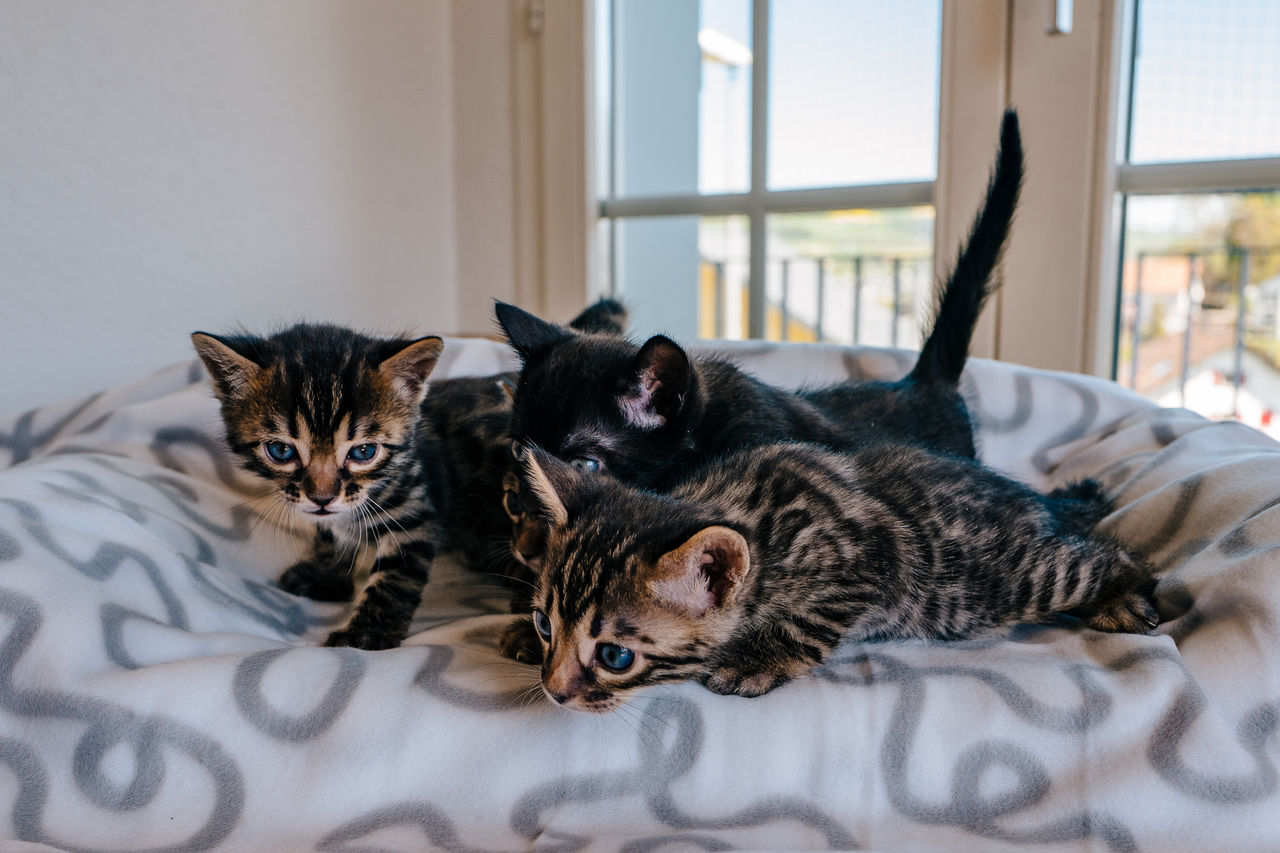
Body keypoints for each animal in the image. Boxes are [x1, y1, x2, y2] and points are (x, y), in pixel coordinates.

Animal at [509, 438, 1162, 712]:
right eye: (546, 624)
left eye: (615, 657)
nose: (554, 691)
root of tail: (1034, 502)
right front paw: (516, 633)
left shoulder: (877, 562)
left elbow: (809, 622)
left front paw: (757, 659)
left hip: (1014, 578)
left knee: (1100, 558)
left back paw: (1124, 595)